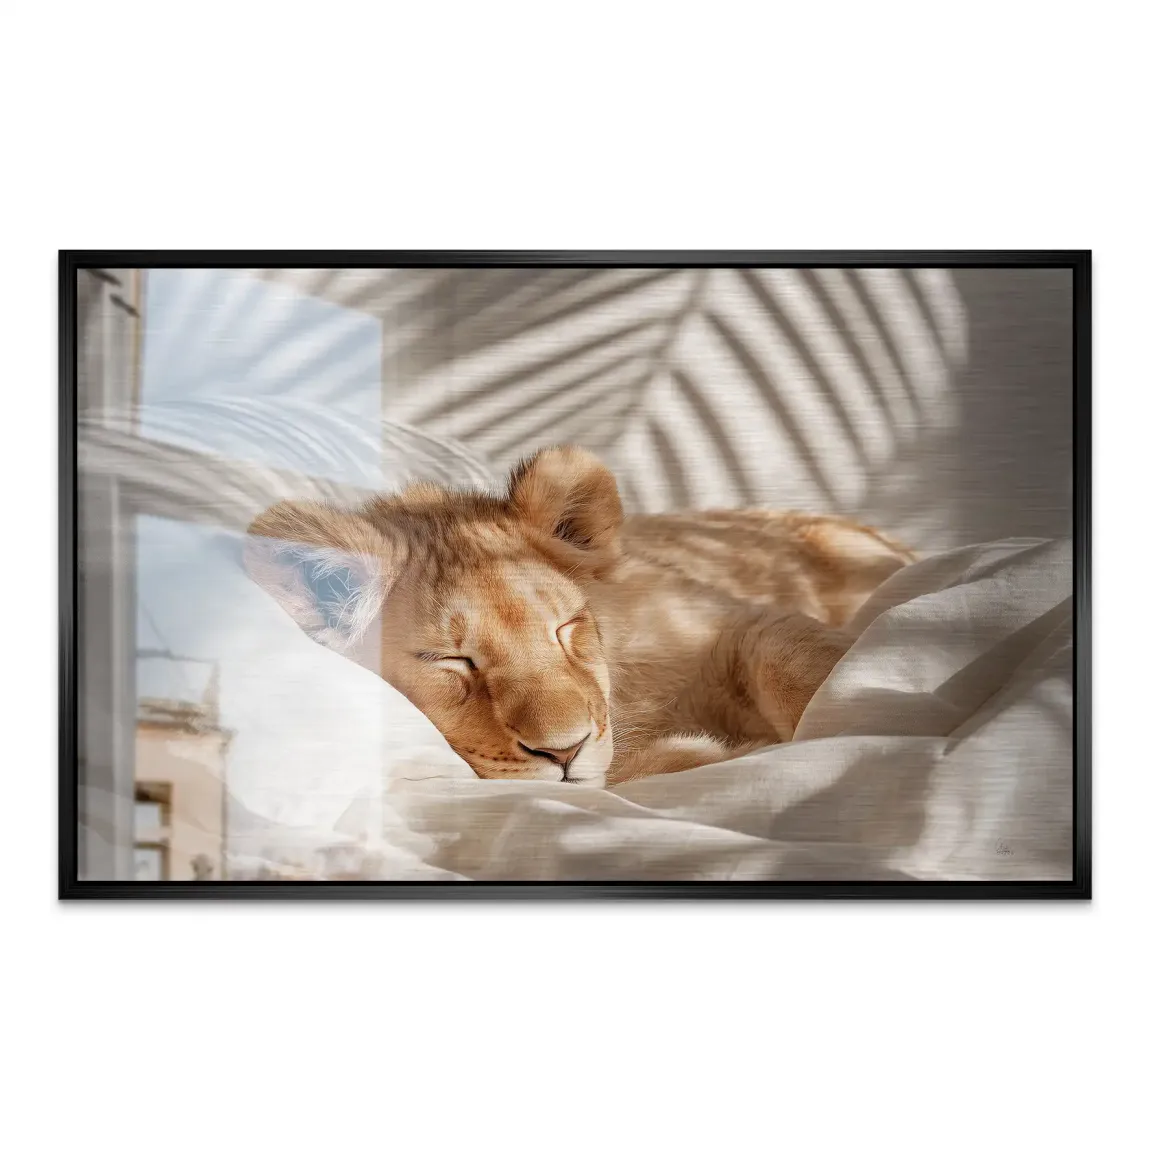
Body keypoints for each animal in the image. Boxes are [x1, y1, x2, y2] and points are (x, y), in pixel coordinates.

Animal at [244, 446, 915, 787]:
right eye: (451, 661)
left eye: (565, 628)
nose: (563, 752)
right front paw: (718, 754)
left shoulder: (722, 620)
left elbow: (792, 655)